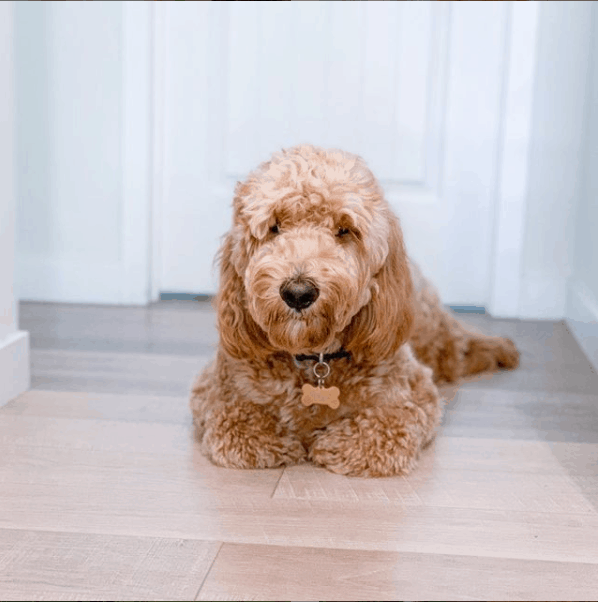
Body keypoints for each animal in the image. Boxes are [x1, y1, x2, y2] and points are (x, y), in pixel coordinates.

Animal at [192, 143, 520, 476]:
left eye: (344, 230)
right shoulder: (216, 389)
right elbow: (238, 422)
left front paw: (329, 443)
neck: (315, 361)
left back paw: (497, 350)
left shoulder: (413, 395)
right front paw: (280, 439)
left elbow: (379, 431)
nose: (298, 293)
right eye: (274, 227)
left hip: (430, 329)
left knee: (457, 347)